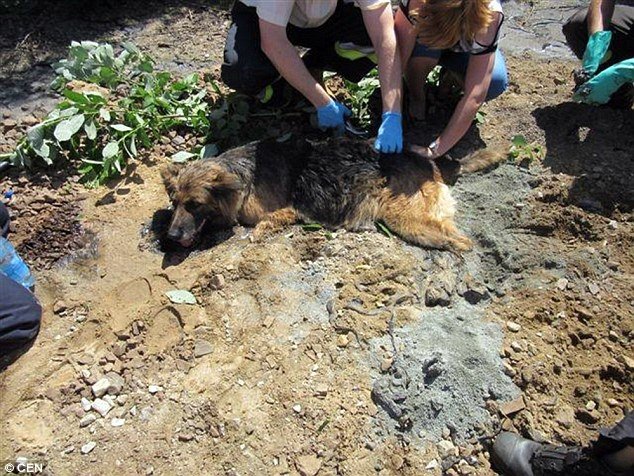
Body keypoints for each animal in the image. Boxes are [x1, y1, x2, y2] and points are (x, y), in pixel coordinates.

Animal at [161, 137, 504, 251]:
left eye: (195, 205)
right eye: (175, 203)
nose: (171, 237)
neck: (240, 177)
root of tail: (430, 161)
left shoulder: (286, 210)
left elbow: (264, 224)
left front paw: (255, 235)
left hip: (406, 218)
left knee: (460, 241)